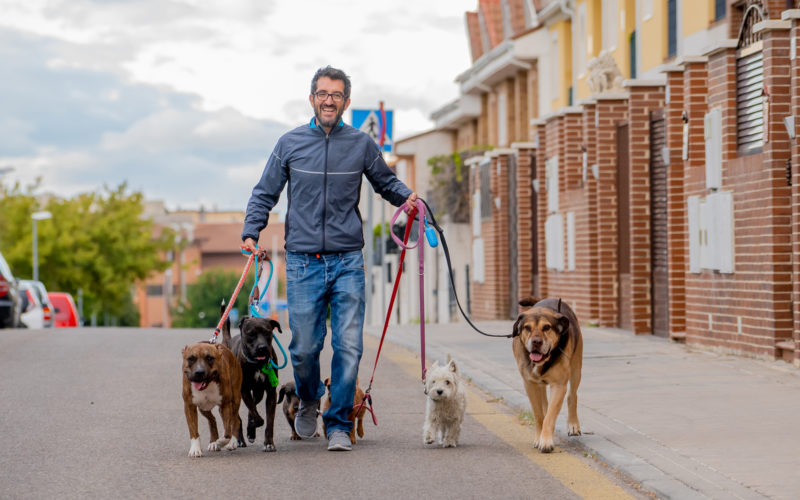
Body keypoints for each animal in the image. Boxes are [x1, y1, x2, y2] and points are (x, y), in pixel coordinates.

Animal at [219, 304, 282, 454]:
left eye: (267, 332)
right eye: (251, 334)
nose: (262, 348)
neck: (257, 364)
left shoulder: (271, 393)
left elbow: (268, 421)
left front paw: (269, 443)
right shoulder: (244, 390)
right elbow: (254, 413)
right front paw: (255, 424)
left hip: (258, 392)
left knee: (251, 408)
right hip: (233, 394)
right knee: (238, 418)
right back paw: (241, 439)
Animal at [512, 296, 580, 454]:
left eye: (547, 327)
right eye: (527, 327)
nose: (536, 342)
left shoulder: (559, 385)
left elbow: (550, 416)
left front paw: (546, 441)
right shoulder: (530, 384)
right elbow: (539, 415)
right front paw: (539, 438)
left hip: (576, 368)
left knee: (572, 395)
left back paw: (573, 424)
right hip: (539, 385)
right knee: (544, 404)